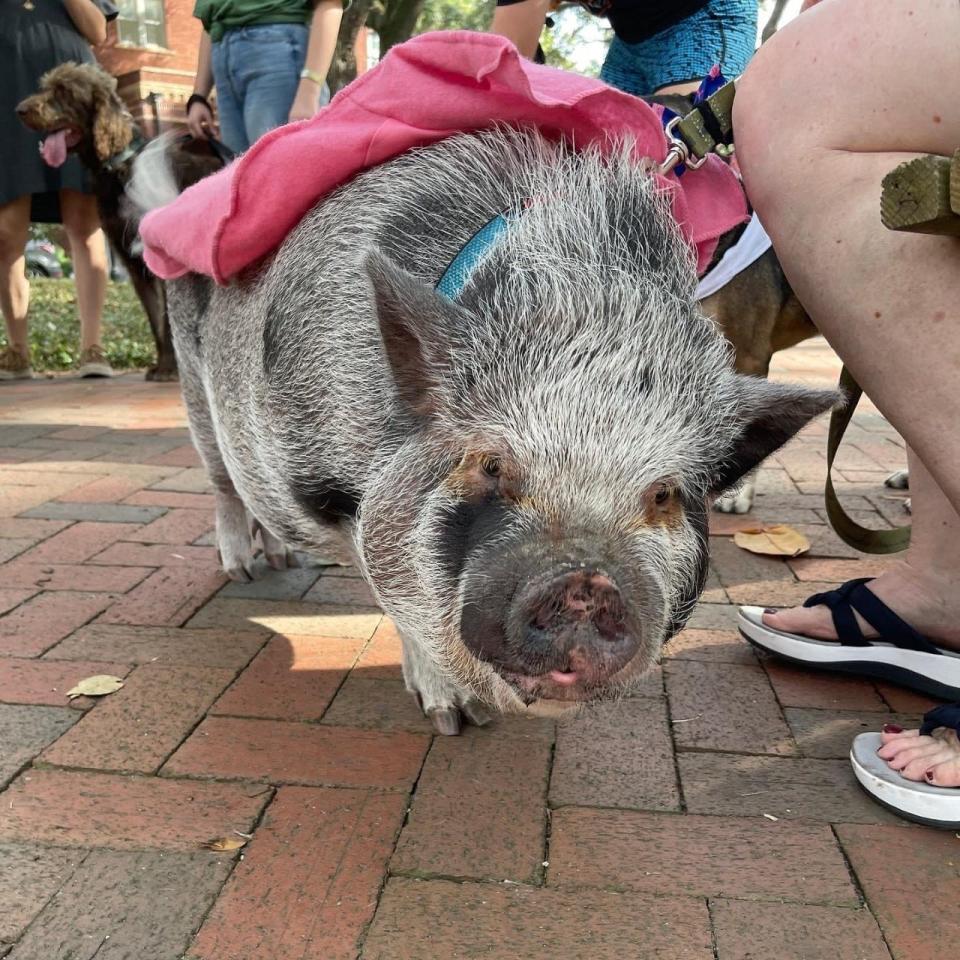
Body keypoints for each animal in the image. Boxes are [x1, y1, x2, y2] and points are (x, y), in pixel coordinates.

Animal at [16, 61, 227, 378]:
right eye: (45, 87)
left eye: (64, 91)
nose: (20, 109)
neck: (120, 166)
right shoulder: (132, 261)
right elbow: (155, 319)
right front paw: (164, 364)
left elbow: (165, 318)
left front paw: (169, 370)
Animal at [129, 129, 840, 736]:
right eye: (491, 463)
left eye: (664, 494)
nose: (587, 581)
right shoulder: (333, 488)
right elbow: (394, 596)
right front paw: (454, 720)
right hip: (197, 395)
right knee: (224, 484)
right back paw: (246, 570)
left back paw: (283, 560)